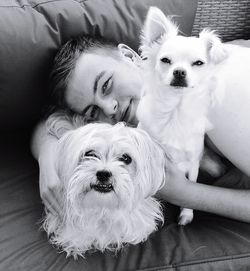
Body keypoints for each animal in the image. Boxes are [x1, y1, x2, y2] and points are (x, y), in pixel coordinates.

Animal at [138, 7, 229, 226]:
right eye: (165, 60)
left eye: (198, 63)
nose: (179, 72)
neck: (174, 111)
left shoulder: (193, 162)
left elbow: (191, 186)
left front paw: (187, 214)